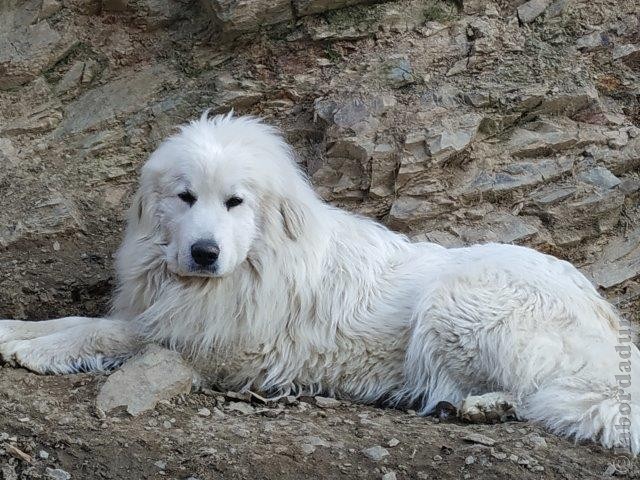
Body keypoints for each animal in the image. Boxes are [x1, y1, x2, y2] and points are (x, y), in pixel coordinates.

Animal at [1, 111, 640, 454]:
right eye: (185, 197)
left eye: (235, 202)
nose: (204, 252)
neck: (254, 262)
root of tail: (607, 321)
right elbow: (84, 319)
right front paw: (16, 328)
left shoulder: (217, 344)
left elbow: (106, 333)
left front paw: (36, 350)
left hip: (457, 298)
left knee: (528, 392)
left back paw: (482, 406)